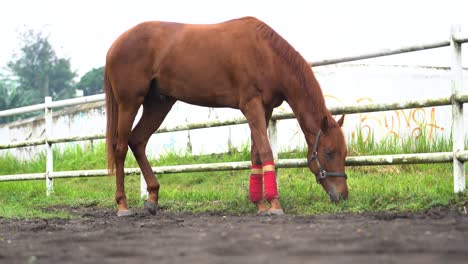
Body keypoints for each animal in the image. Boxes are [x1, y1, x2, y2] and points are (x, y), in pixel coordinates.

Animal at [105, 17, 348, 218]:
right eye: (328, 152)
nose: (343, 195)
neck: (266, 54)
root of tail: (115, 45)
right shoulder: (251, 105)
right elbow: (265, 150)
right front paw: (274, 203)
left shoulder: (264, 108)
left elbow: (256, 152)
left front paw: (259, 203)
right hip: (129, 103)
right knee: (121, 147)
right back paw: (122, 205)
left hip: (159, 104)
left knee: (138, 141)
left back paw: (153, 198)